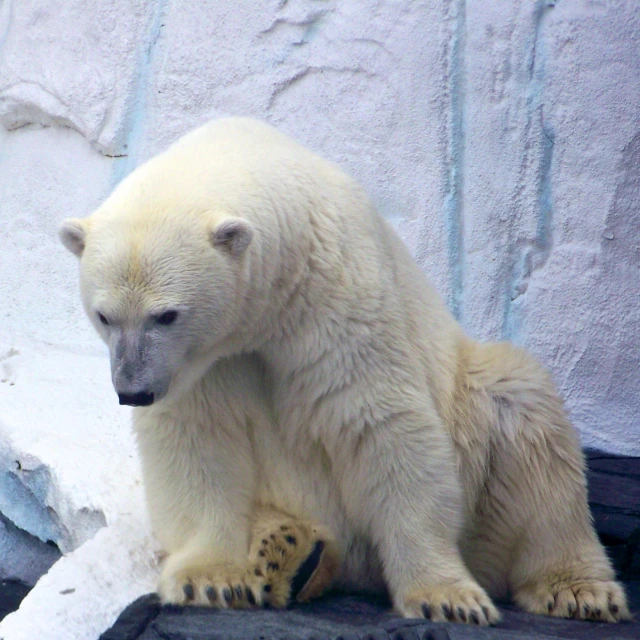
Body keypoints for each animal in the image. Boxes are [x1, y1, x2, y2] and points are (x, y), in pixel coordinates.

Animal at [60, 116, 632, 624]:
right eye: (105, 316)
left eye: (167, 314)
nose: (133, 391)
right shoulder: (205, 365)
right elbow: (197, 439)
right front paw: (211, 579)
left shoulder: (334, 297)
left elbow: (382, 426)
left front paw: (445, 597)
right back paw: (288, 551)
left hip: (473, 422)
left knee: (527, 420)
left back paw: (578, 590)